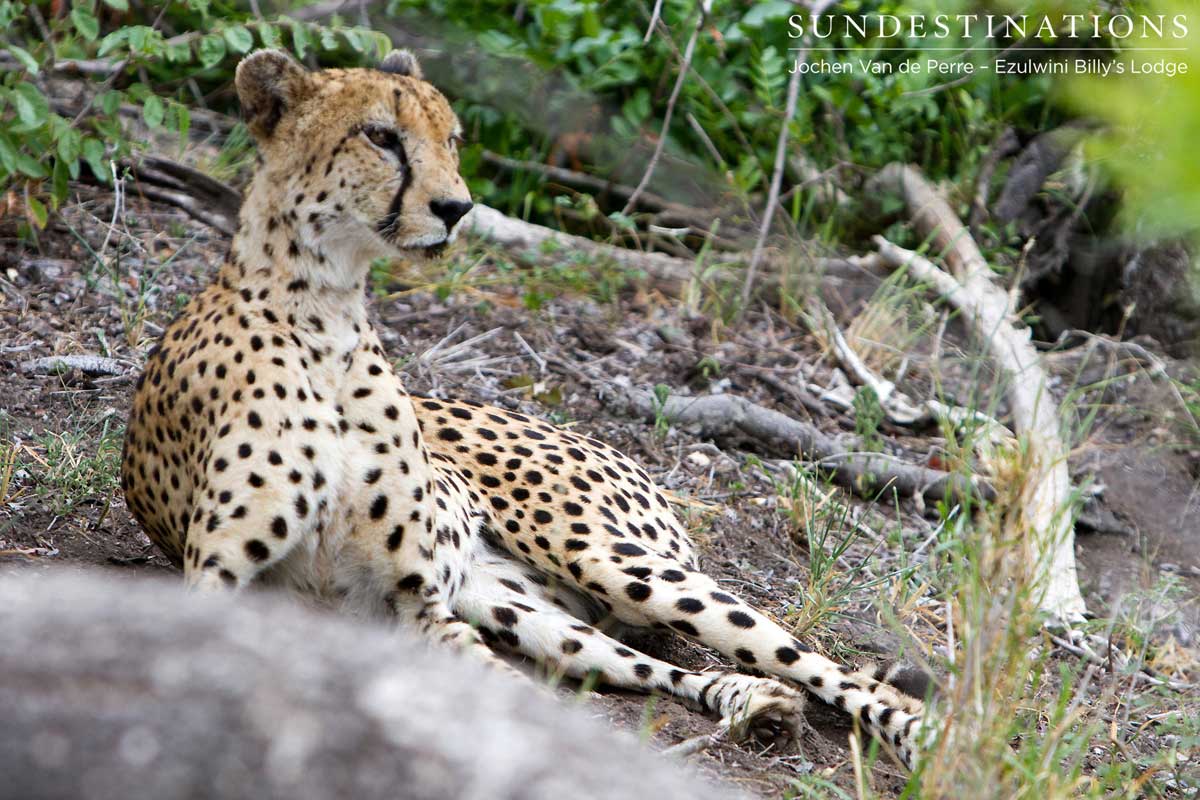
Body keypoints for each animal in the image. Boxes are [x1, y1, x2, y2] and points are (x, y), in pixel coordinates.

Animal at [121, 48, 928, 769]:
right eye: (381, 135)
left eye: (450, 138)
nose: (456, 207)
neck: (324, 315)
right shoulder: (227, 587)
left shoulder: (414, 606)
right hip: (521, 606)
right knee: (644, 667)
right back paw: (749, 702)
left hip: (609, 557)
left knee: (816, 662)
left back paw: (916, 735)